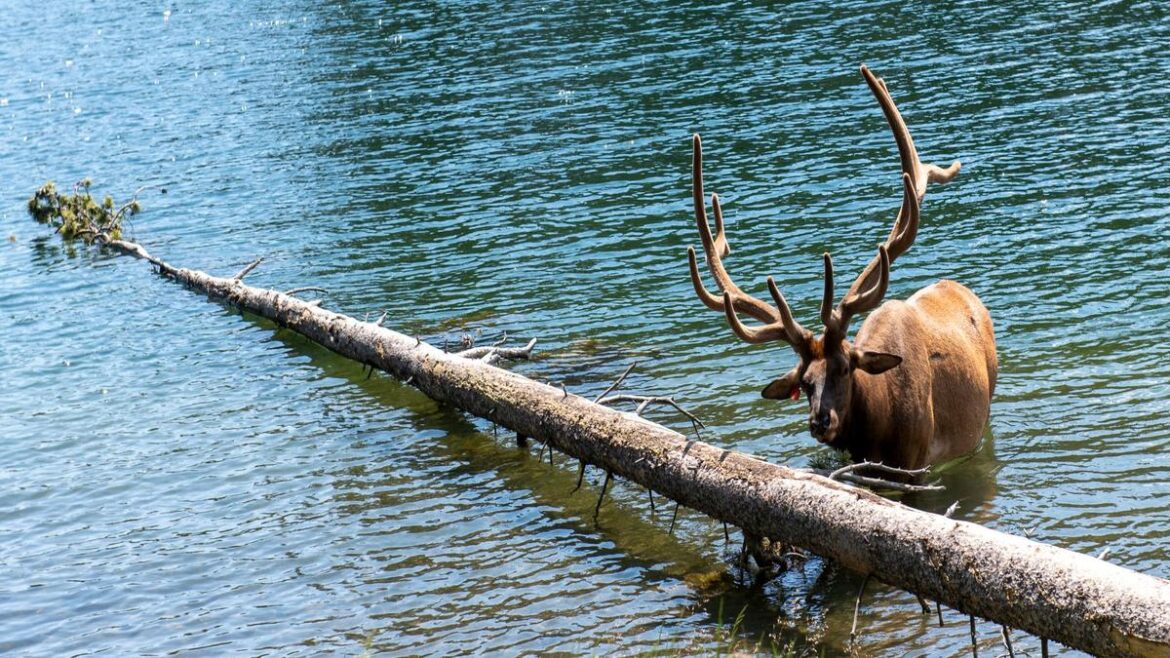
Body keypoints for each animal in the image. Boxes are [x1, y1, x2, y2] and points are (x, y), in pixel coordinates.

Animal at [687, 65, 1001, 465]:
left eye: (844, 369)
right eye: (805, 381)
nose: (820, 421)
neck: (880, 432)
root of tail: (960, 289)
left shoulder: (918, 459)